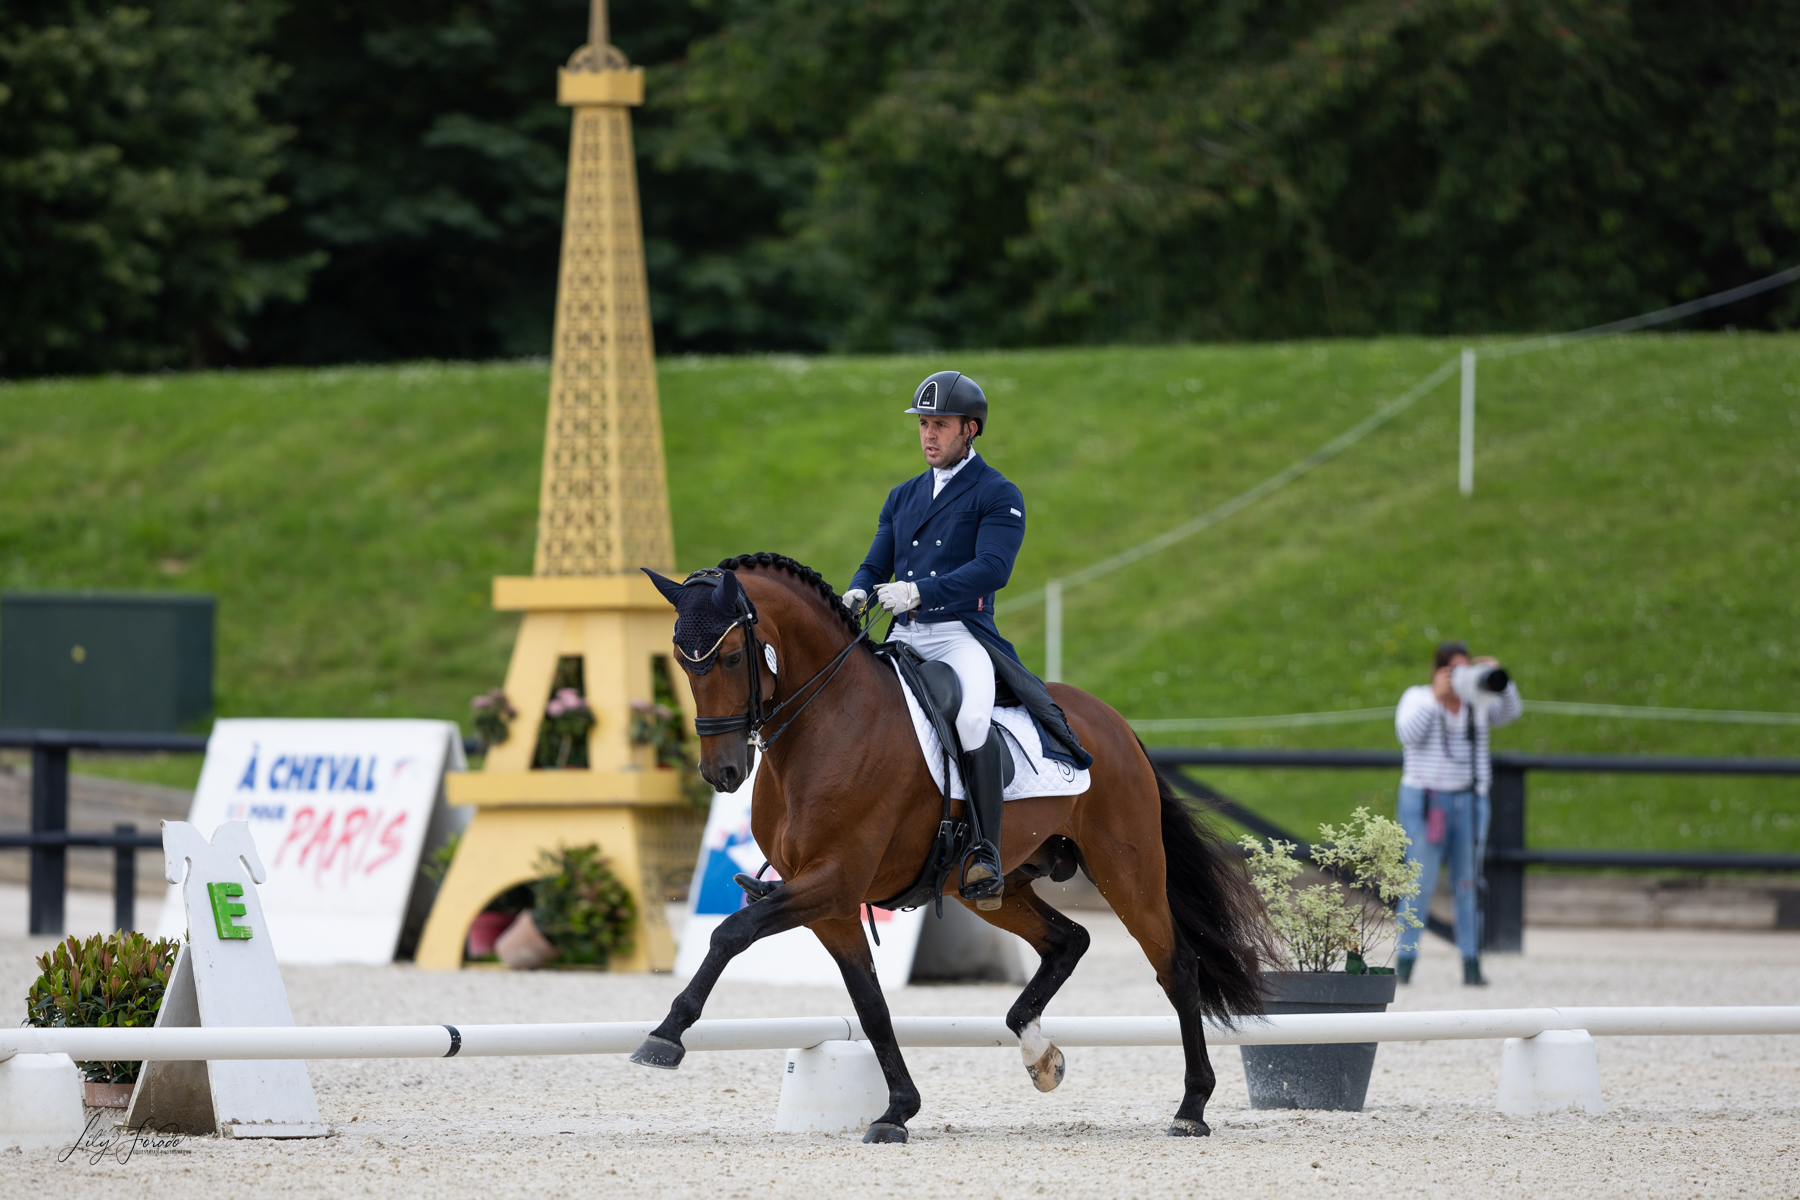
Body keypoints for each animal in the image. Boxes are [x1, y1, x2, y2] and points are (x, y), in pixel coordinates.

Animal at [630, 557, 1267, 1144]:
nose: (722, 773)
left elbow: (730, 932)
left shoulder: (833, 881)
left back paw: (1191, 1108)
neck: (826, 724)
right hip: (990, 886)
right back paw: (1039, 1052)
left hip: (1126, 867)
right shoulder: (829, 903)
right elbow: (870, 1003)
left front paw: (665, 1036)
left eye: (733, 658)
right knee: (1068, 940)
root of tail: (1113, 722)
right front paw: (897, 1110)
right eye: (681, 661)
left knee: (1175, 967)